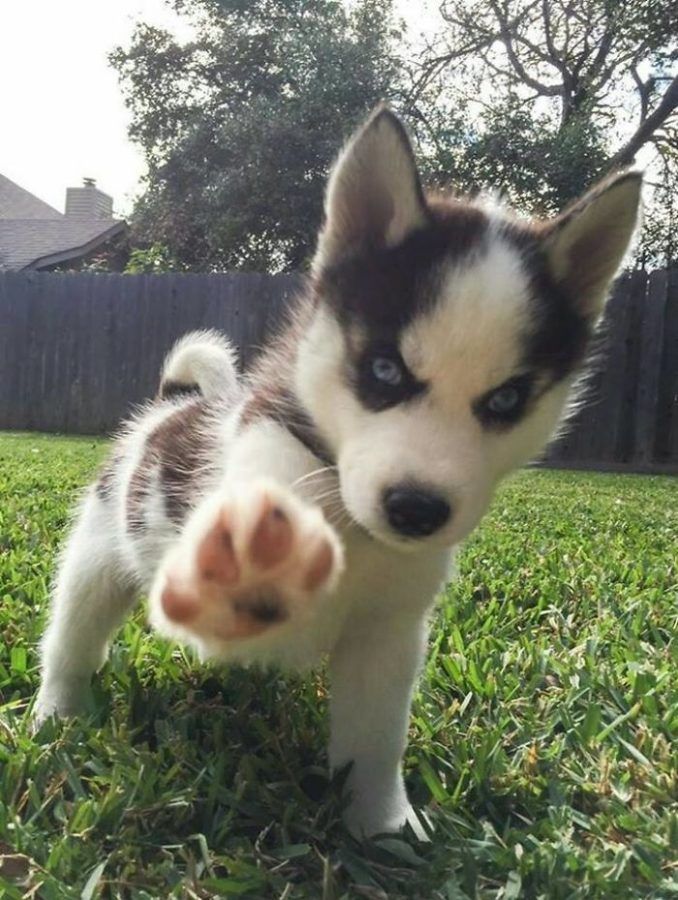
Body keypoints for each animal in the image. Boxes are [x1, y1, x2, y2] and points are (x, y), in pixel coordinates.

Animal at [34, 110, 644, 836]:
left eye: (506, 401)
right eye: (384, 370)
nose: (415, 509)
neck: (351, 523)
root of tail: (169, 406)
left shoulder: (390, 636)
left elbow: (375, 741)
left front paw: (382, 826)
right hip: (96, 560)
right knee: (72, 639)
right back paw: (56, 716)